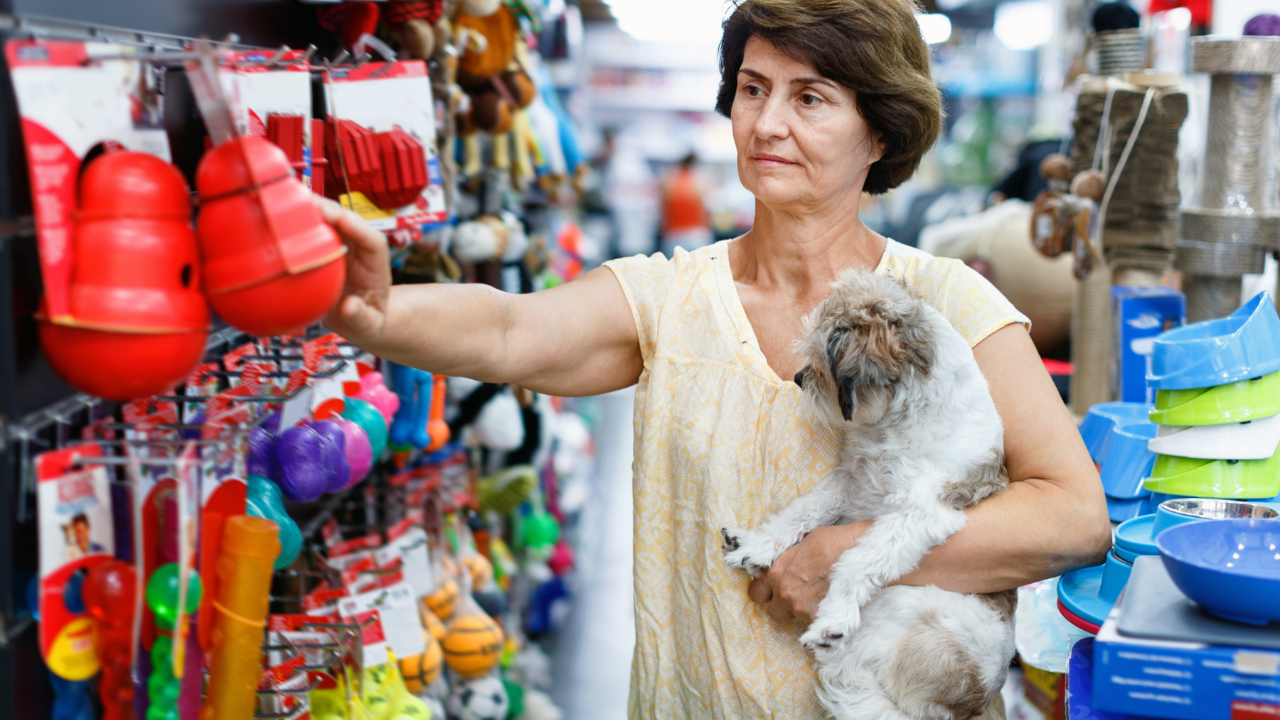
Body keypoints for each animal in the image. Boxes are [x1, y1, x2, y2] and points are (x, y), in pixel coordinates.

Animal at [727, 269, 1013, 717]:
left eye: (821, 360)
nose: (799, 377)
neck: (896, 425)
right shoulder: (850, 482)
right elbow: (801, 512)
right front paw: (758, 546)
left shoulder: (917, 514)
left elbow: (858, 562)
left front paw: (834, 617)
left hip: (899, 607)